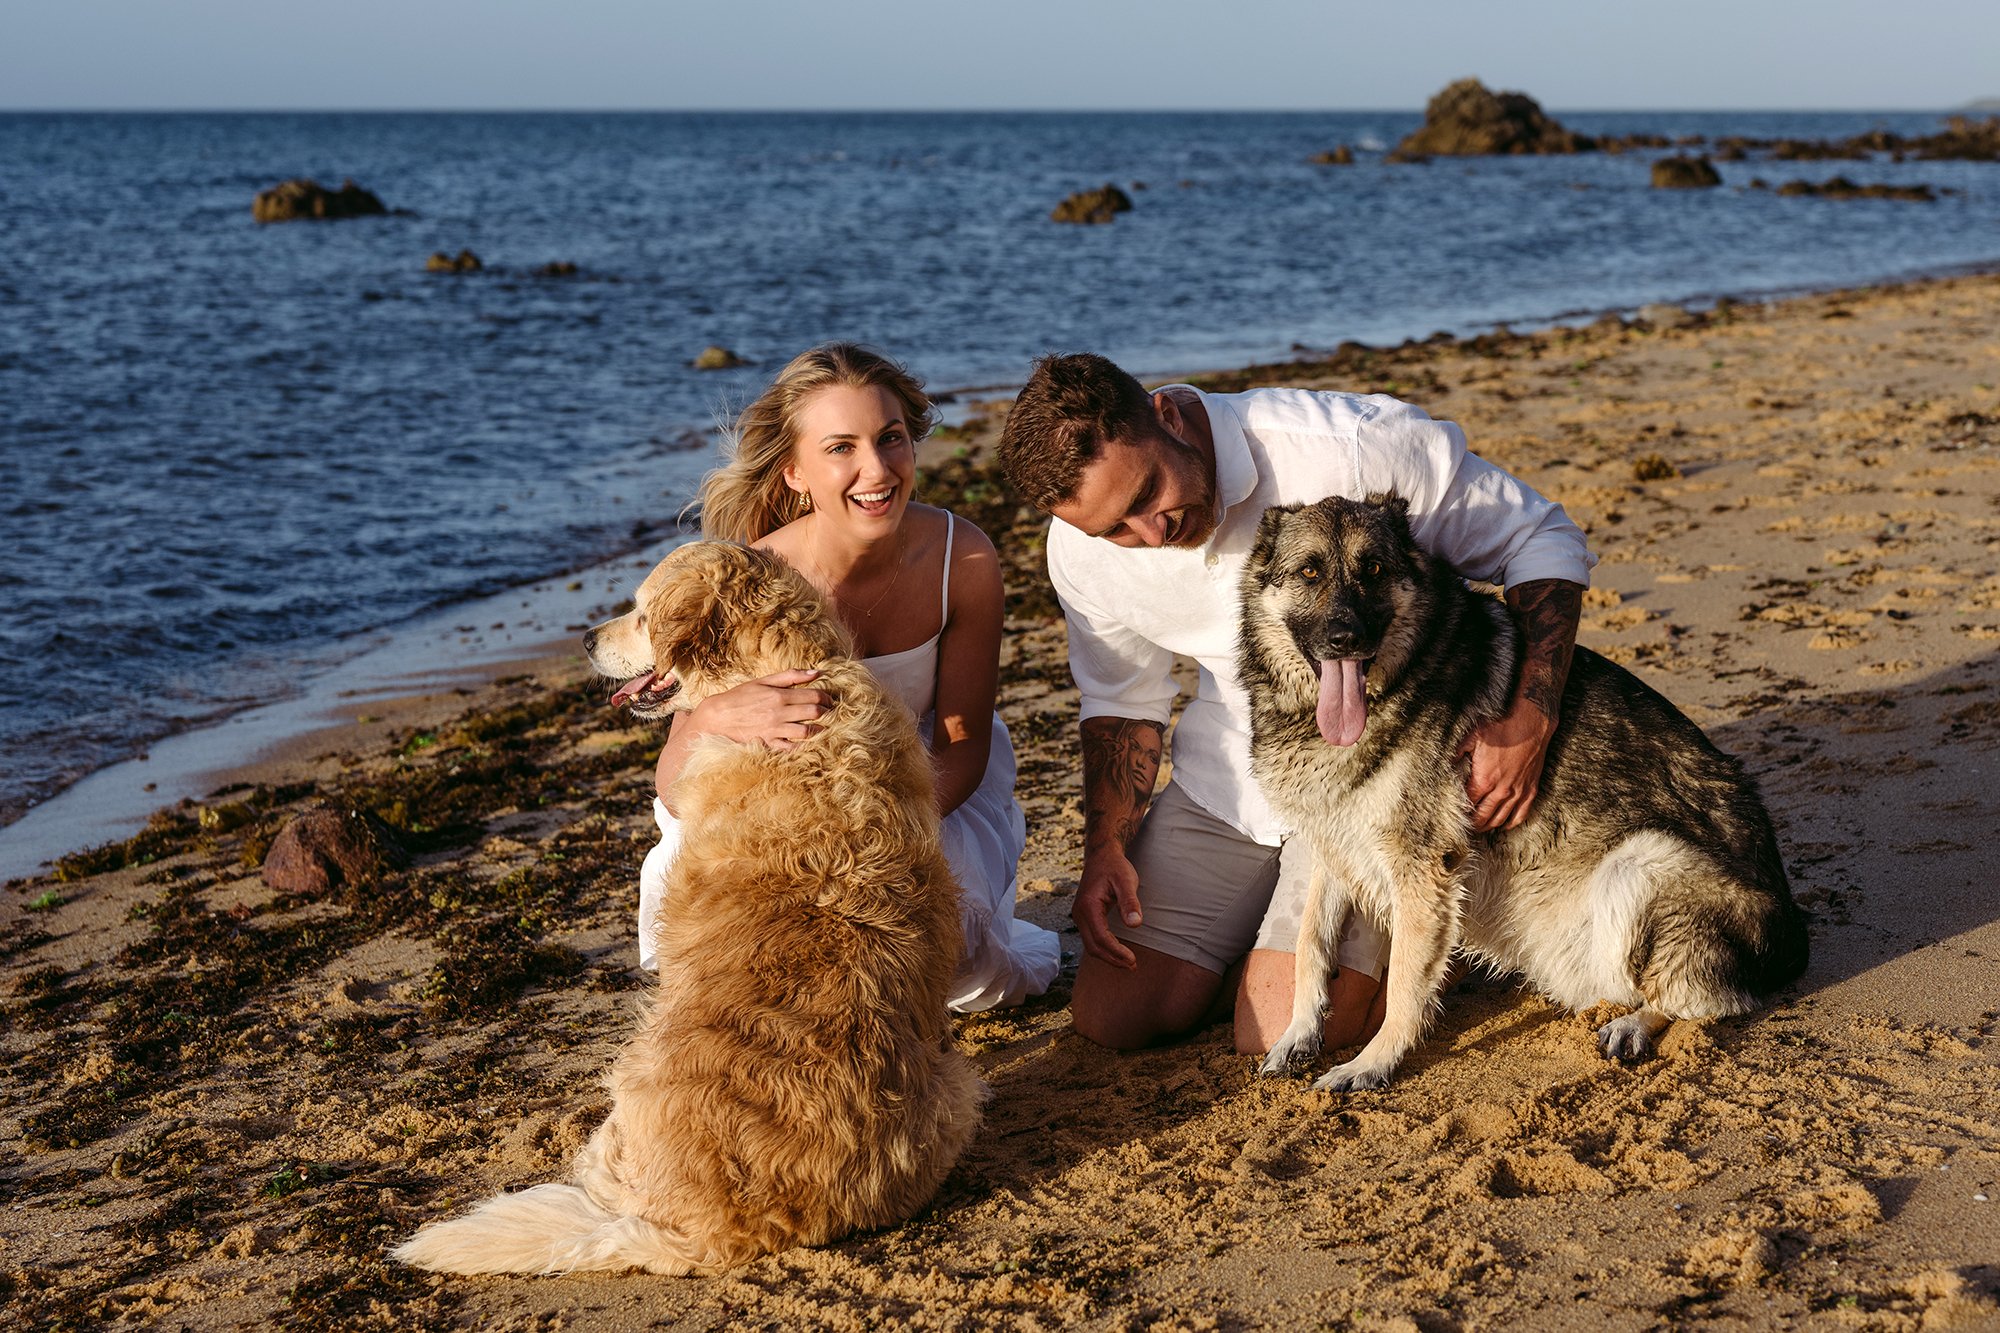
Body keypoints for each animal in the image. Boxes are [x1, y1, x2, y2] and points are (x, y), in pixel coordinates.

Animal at [1240, 492, 1808, 1088]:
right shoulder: (1334, 842)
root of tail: (1793, 937)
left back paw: (1634, 1024)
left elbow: (1403, 986)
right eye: (1310, 572)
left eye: (1372, 569)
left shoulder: (1422, 868)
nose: (1346, 639)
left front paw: (1373, 1063)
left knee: (1713, 999)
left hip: (1637, 864)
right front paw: (1300, 1033)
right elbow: (1309, 942)